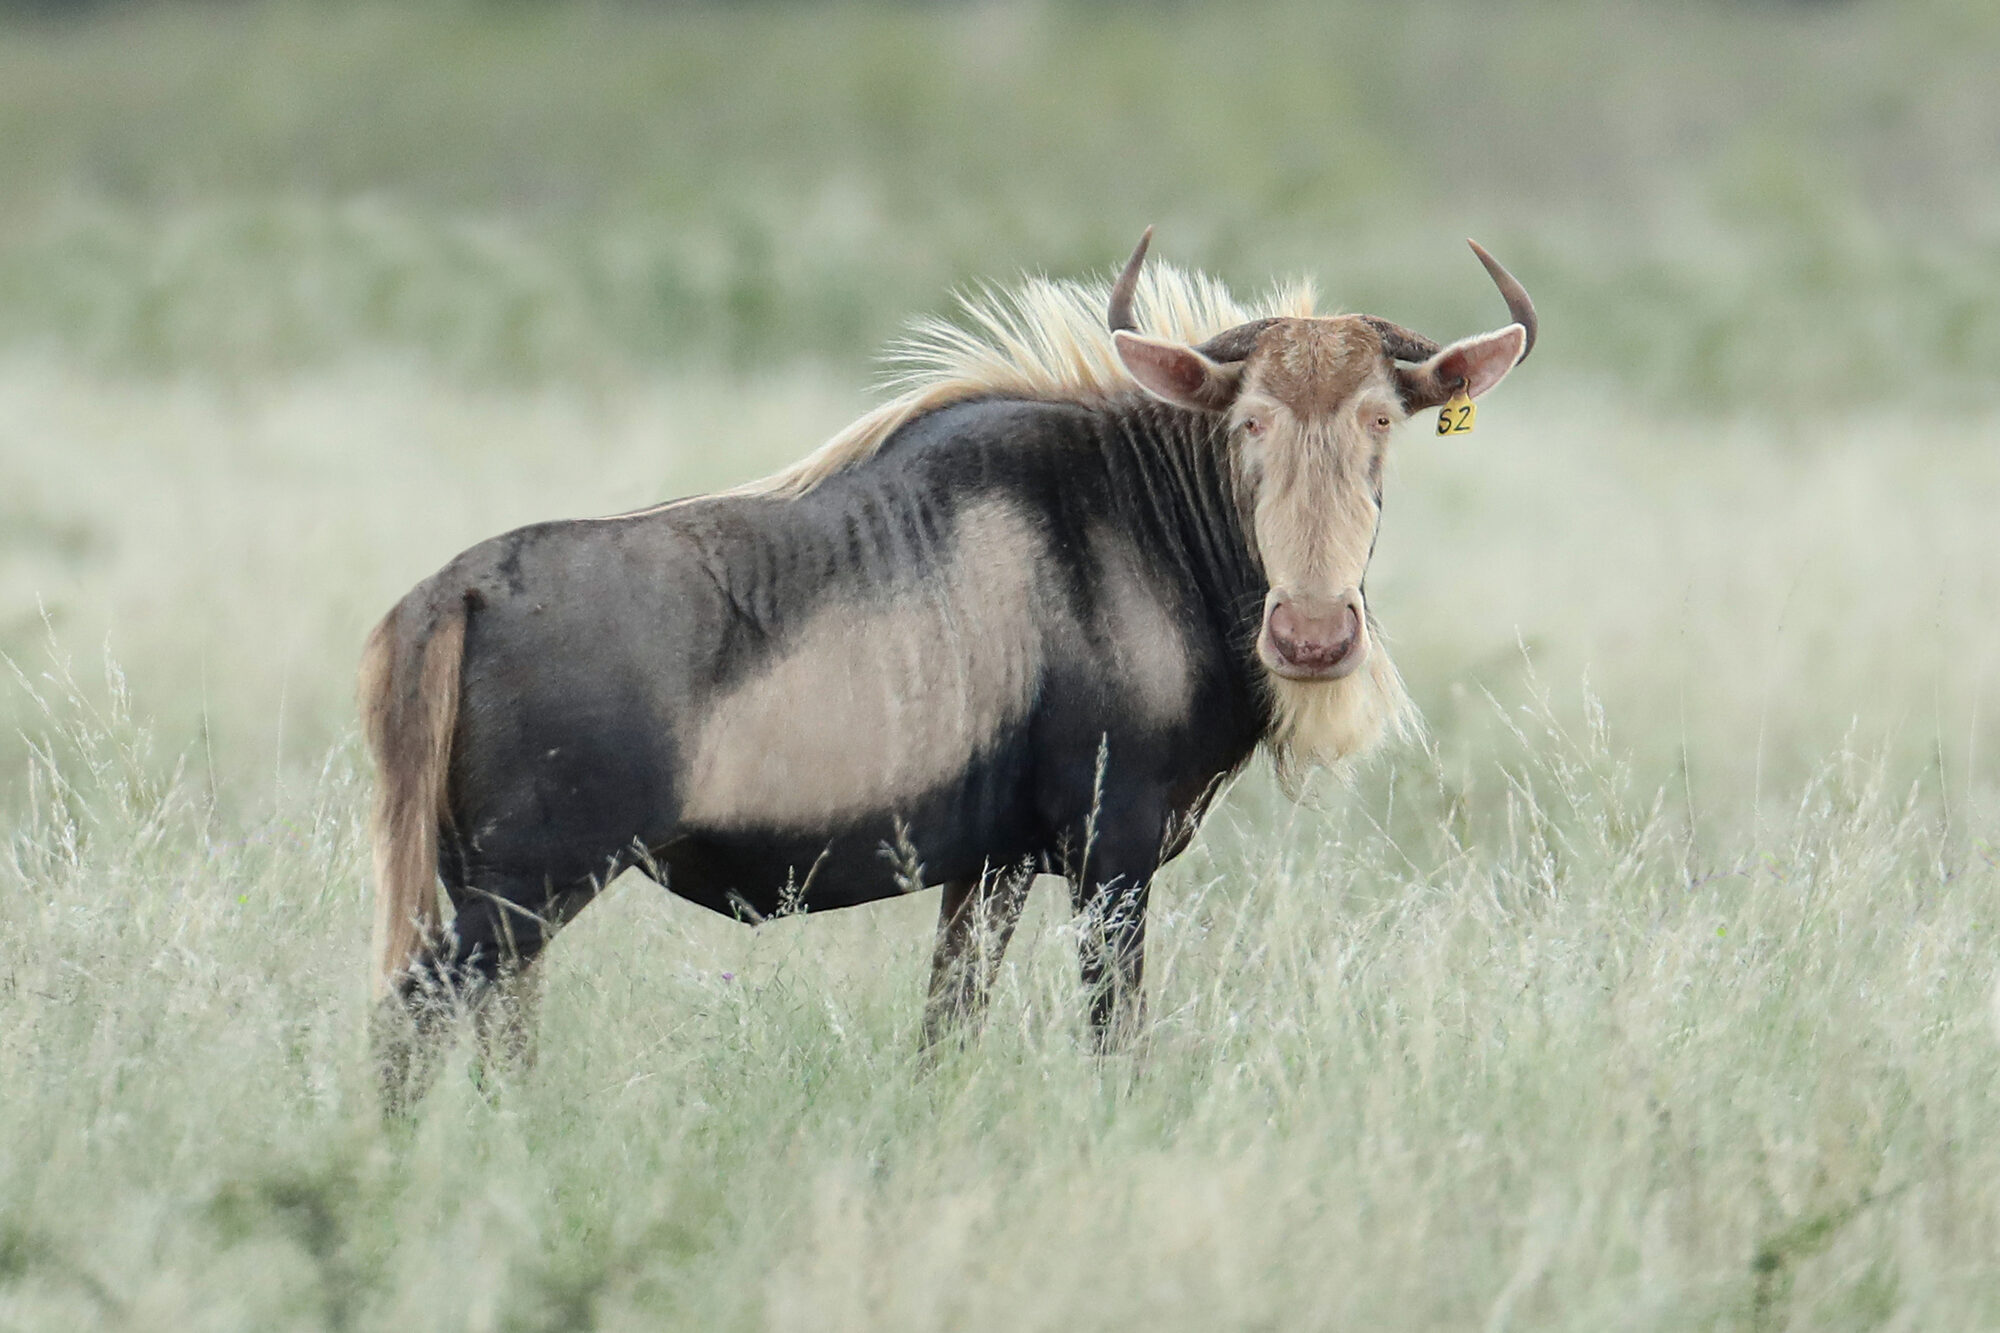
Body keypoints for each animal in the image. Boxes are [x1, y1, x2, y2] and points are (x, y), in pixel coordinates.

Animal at [361, 230, 1535, 1101]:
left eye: (1381, 416)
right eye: (1247, 422)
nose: (1311, 636)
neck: (1138, 517)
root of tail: (455, 590)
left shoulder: (990, 867)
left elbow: (944, 1034)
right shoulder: (1111, 855)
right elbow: (1114, 1044)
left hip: (498, 897)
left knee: (494, 1039)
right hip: (522, 893)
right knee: (409, 1020)